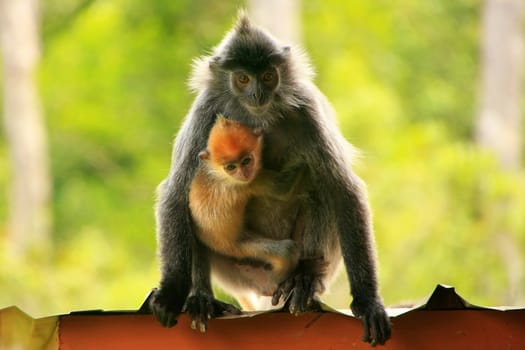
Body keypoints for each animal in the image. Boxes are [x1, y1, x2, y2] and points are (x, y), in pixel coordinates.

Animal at [190, 116, 300, 280]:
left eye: (246, 161)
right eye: (231, 167)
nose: (243, 173)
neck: (220, 176)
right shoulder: (248, 184)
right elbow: (283, 189)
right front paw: (300, 161)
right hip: (238, 247)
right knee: (286, 251)